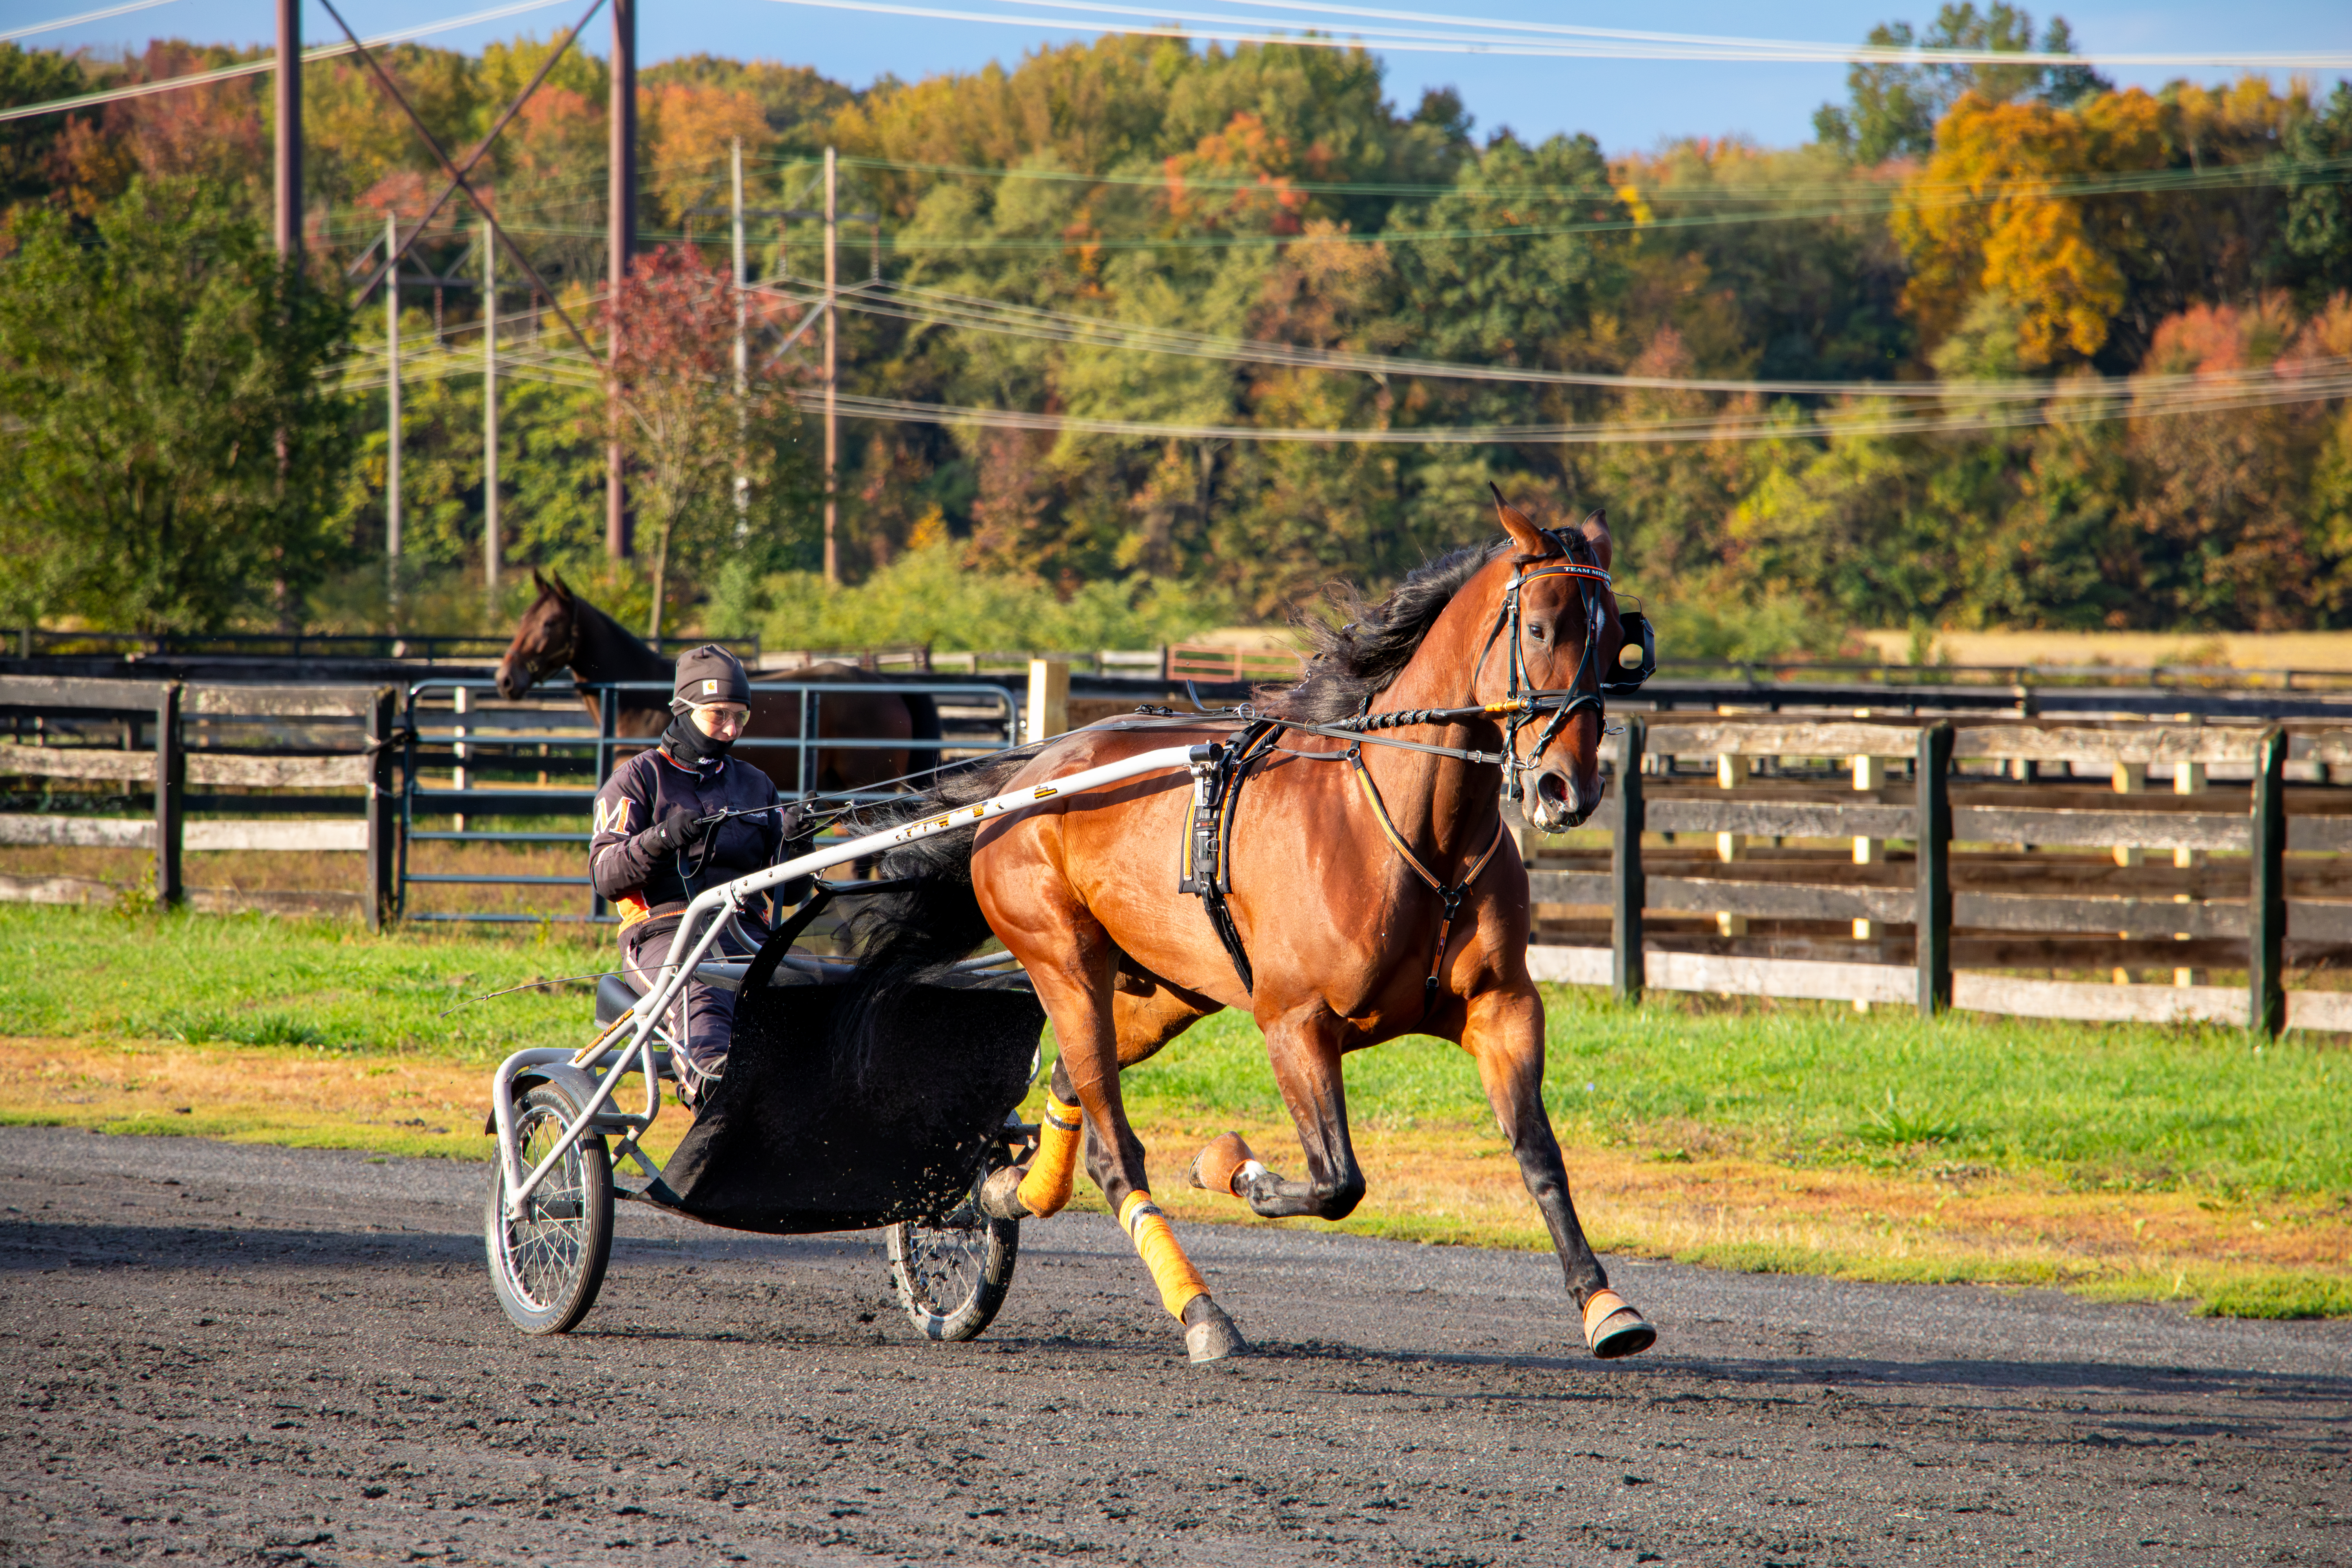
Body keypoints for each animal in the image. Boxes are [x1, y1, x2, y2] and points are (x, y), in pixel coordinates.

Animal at [494, 570, 941, 797]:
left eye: (550, 623)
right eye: (523, 619)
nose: (505, 679)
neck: (638, 699)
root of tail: (891, 688)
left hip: (867, 787)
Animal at [843, 490, 1654, 1364]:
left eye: (1616, 638)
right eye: (1538, 625)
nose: (1567, 786)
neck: (1405, 831)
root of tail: (1025, 777)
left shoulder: (1503, 1006)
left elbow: (1540, 1156)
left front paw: (1604, 1303)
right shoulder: (1295, 1020)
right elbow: (1336, 1181)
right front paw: (1231, 1166)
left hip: (1165, 989)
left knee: (1072, 1094)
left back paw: (998, 1189)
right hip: (1063, 960)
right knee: (1117, 1149)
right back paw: (1199, 1311)